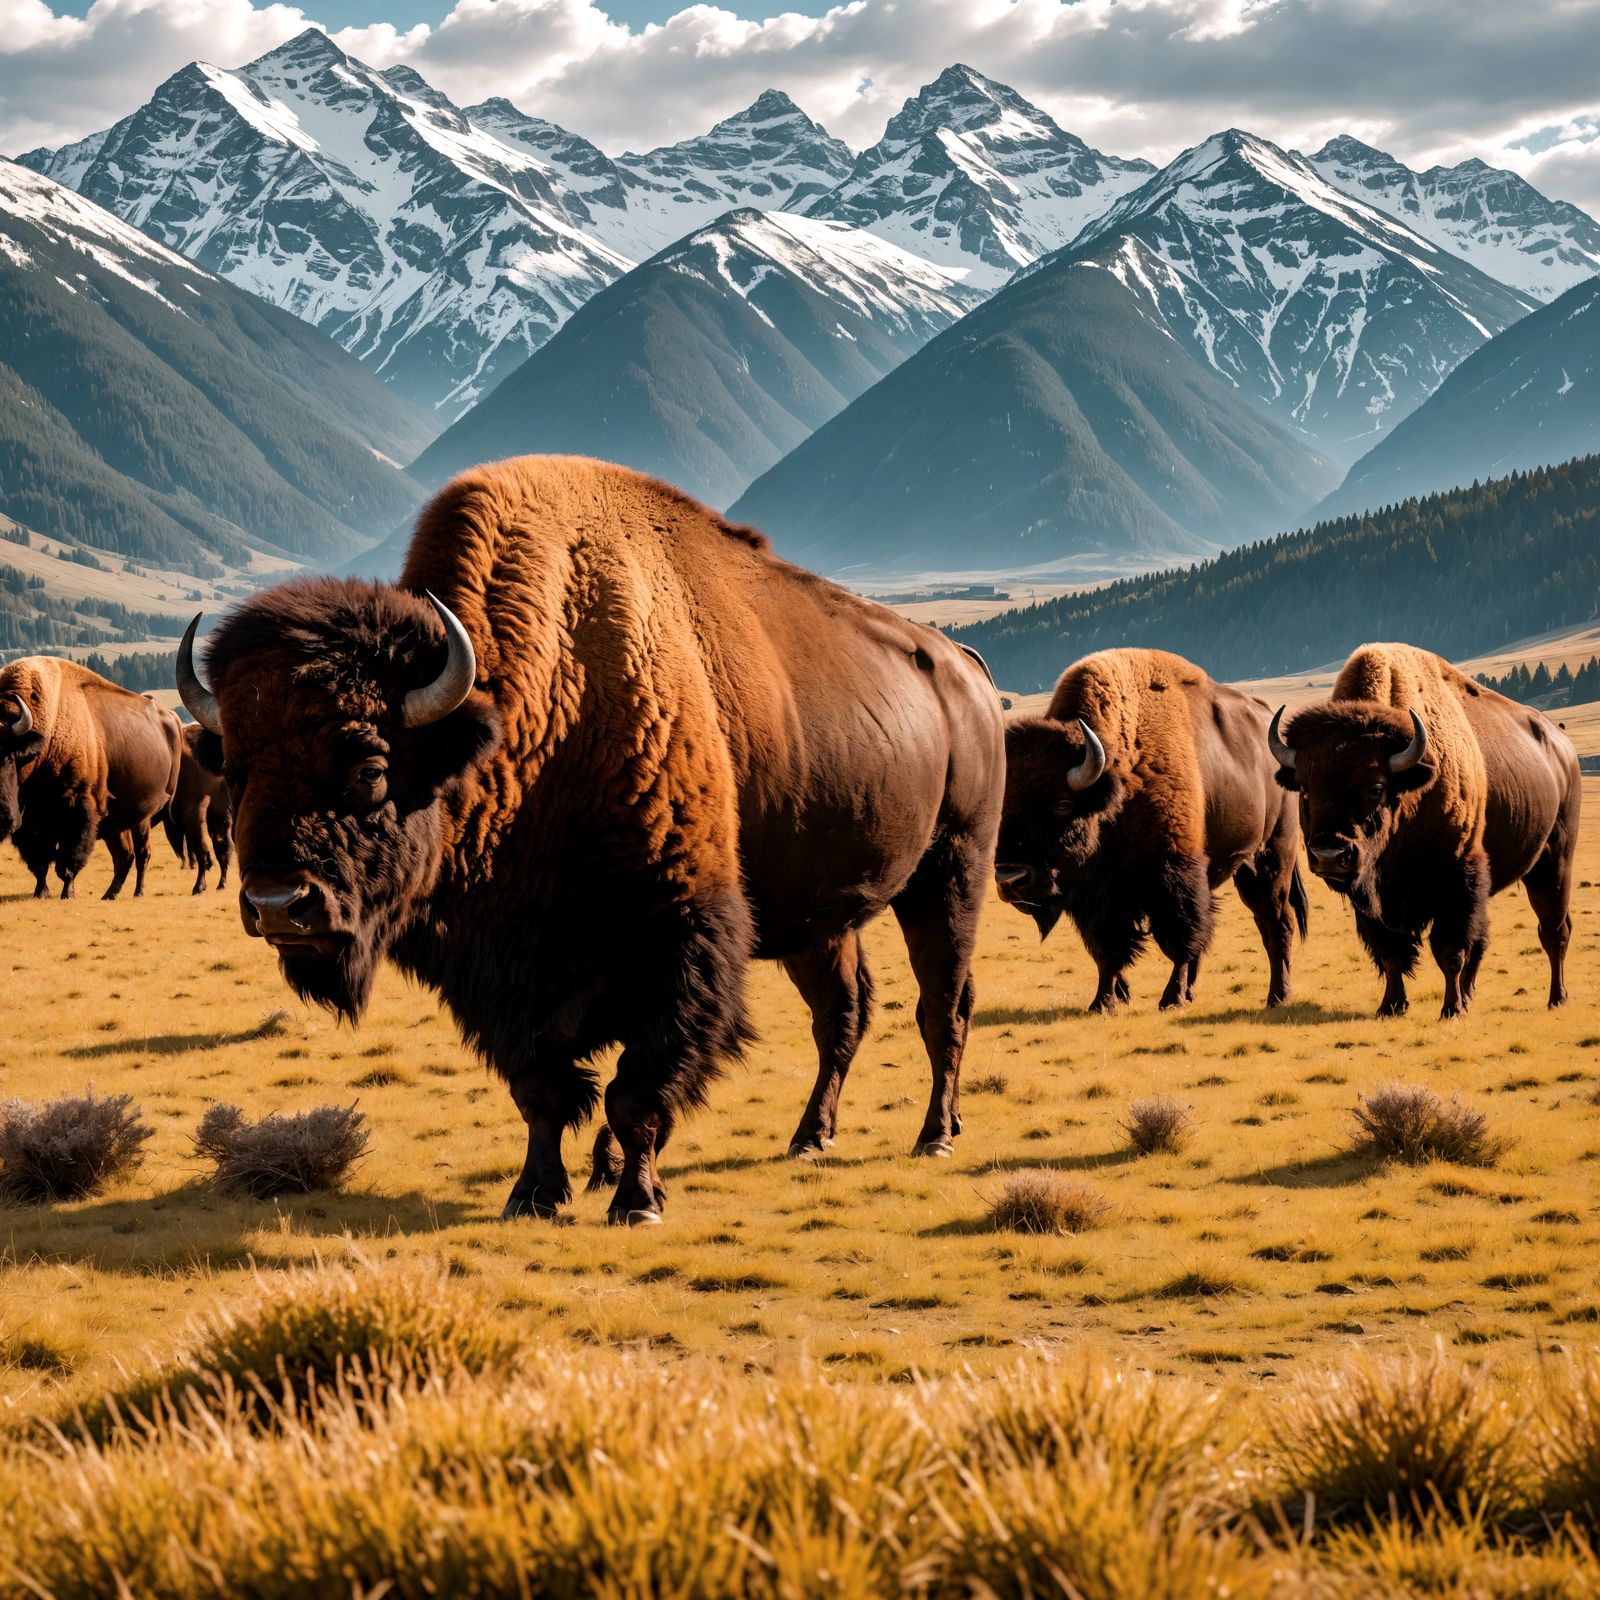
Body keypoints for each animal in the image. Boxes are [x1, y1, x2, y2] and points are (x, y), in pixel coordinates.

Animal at [0, 656, 181, 899]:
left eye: (9, 756)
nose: (2, 817)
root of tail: (171, 718)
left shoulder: (79, 809)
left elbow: (67, 861)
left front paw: (67, 893)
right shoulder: (32, 822)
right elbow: (40, 862)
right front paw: (41, 892)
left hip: (143, 817)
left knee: (142, 853)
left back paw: (138, 892)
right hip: (117, 821)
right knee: (124, 855)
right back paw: (109, 894)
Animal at [178, 456, 1003, 1224]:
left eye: (371, 766)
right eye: (237, 772)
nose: (279, 906)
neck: (540, 708)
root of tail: (963, 668)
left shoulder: (678, 938)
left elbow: (636, 1089)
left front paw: (636, 1200)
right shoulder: (509, 973)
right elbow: (543, 1090)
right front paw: (535, 1194)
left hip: (952, 872)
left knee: (944, 1005)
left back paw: (936, 1134)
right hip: (818, 919)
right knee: (843, 1012)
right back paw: (811, 1136)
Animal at [996, 649, 1307, 1011]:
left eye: (1062, 804)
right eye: (1001, 807)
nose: (1010, 878)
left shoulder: (1172, 874)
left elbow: (1178, 938)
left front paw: (1171, 999)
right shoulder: (1097, 897)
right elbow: (1107, 951)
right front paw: (1103, 1002)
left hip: (1270, 859)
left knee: (1275, 924)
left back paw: (1277, 996)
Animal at [1270, 642, 1579, 1017]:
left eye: (1376, 788)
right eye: (1304, 789)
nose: (1329, 855)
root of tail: (1563, 746)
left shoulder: (1457, 878)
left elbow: (1450, 951)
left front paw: (1451, 1010)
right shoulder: (1372, 899)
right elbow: (1391, 952)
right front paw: (1391, 1006)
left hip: (1553, 862)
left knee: (1554, 930)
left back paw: (1557, 998)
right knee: (1486, 939)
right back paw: (1473, 996)